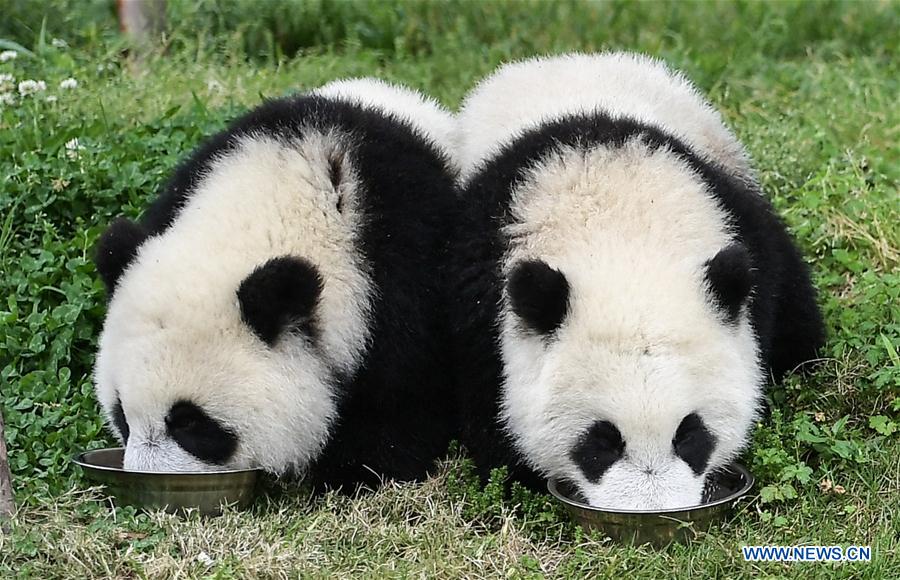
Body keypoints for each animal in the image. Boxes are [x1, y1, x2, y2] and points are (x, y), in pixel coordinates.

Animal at [92, 78, 459, 489]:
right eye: (122, 414)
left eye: (190, 422)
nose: (149, 478)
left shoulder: (399, 280)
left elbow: (402, 398)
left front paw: (352, 471)